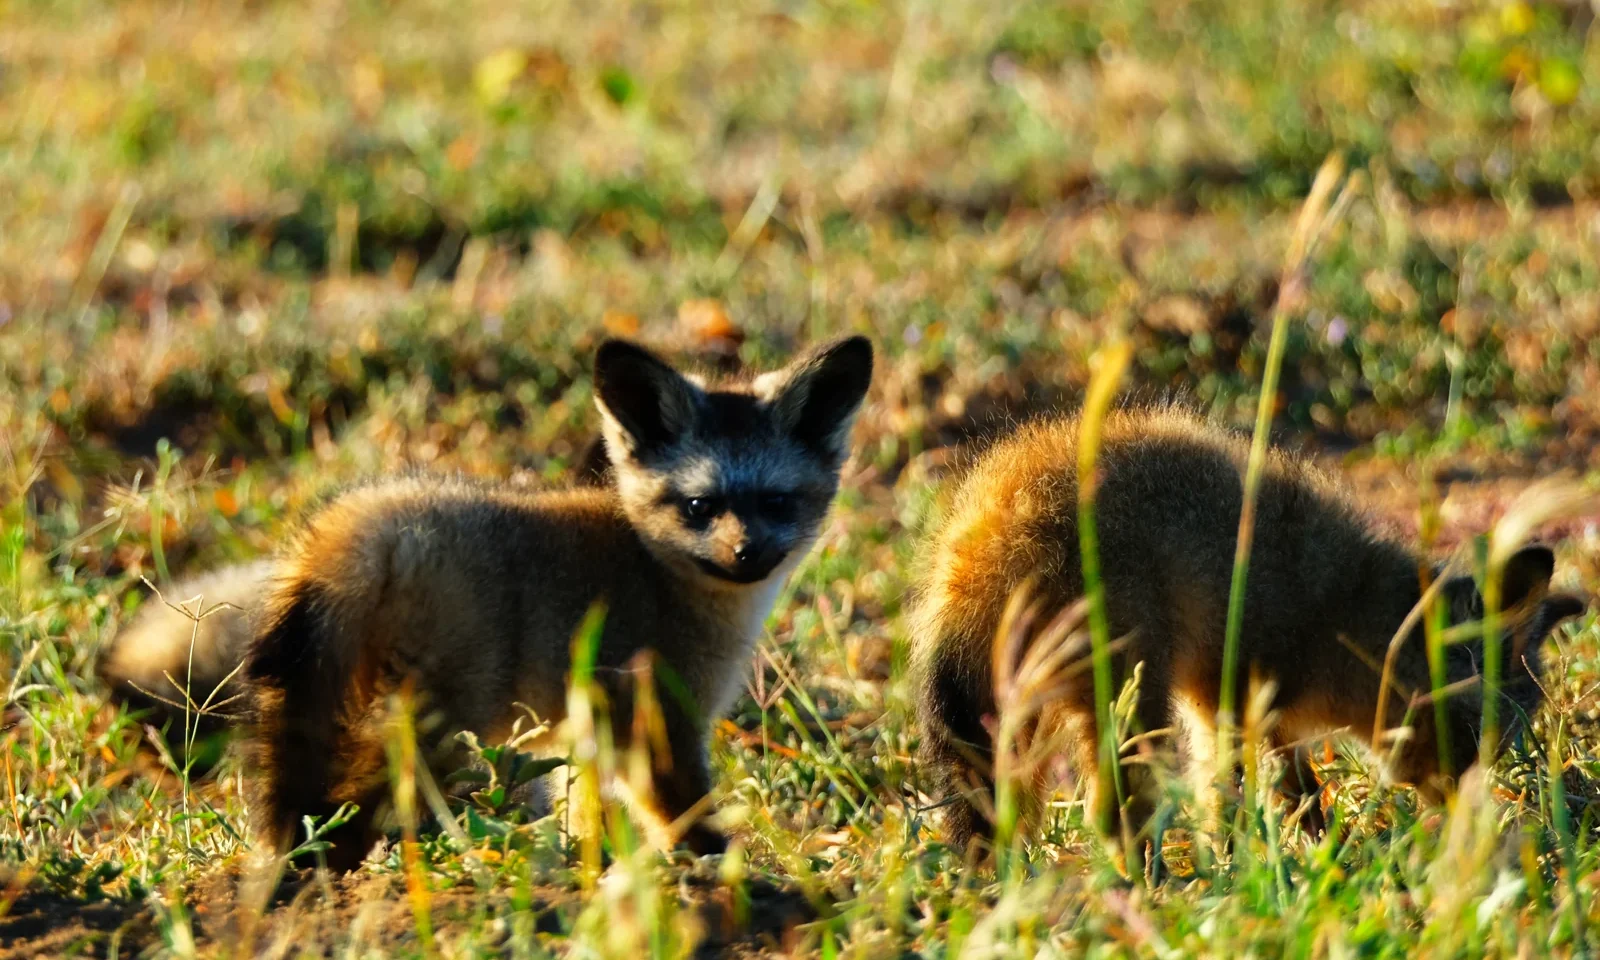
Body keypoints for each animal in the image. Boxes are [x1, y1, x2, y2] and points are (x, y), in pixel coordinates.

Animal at [99, 335, 873, 870]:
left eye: (777, 503)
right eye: (698, 506)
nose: (747, 555)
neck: (658, 569)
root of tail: (361, 522)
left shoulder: (585, 728)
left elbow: (587, 818)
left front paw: (592, 873)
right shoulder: (657, 720)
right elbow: (682, 813)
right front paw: (723, 868)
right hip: (444, 723)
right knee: (359, 798)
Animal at [911, 405, 1588, 852]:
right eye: (1475, 732)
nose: (1463, 819)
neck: (1341, 606)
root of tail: (997, 514)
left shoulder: (1260, 714)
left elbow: (1298, 789)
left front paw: (1318, 854)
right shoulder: (1225, 704)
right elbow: (1232, 796)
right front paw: (1234, 865)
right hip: (1133, 699)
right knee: (1117, 811)